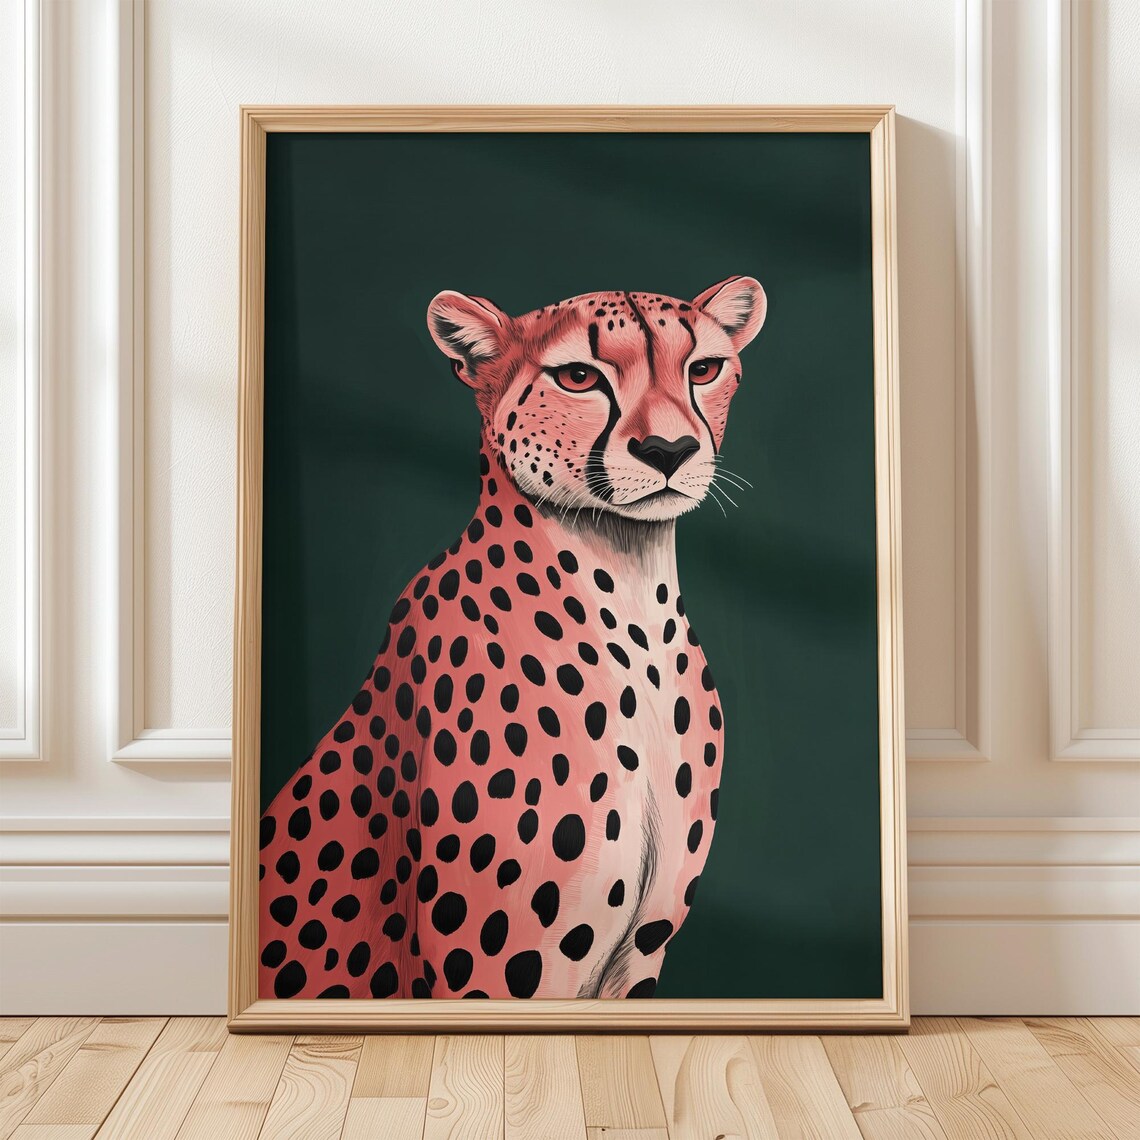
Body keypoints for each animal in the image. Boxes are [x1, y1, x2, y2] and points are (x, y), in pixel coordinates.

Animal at [257, 276, 766, 1000]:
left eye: (703, 369)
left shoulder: (638, 959)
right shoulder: (496, 972)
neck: (629, 593)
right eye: (580, 376)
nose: (669, 452)